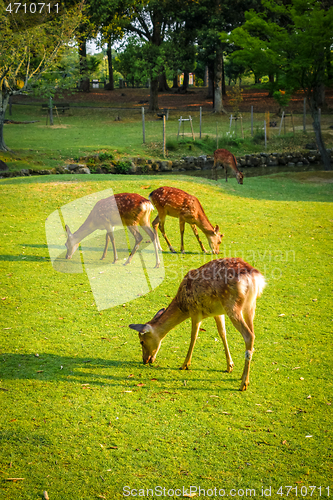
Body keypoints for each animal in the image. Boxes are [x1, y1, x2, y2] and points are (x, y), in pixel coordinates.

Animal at [129, 258, 264, 390]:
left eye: (141, 341)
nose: (145, 360)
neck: (182, 305)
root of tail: (255, 278)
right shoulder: (218, 312)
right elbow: (222, 333)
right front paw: (229, 366)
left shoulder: (195, 310)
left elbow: (193, 336)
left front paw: (184, 365)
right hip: (250, 306)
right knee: (252, 333)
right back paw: (242, 377)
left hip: (232, 305)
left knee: (249, 335)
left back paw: (244, 384)